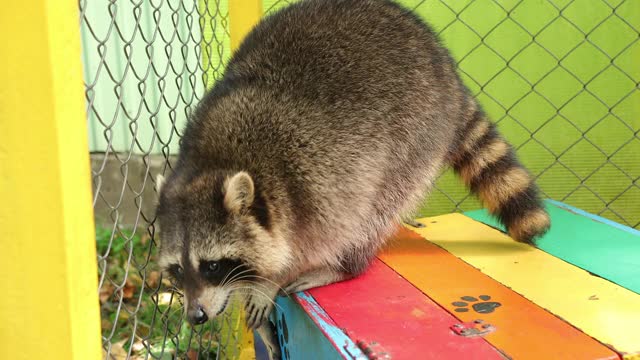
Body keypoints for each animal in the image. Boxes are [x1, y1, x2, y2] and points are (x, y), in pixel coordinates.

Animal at [155, 0, 552, 350]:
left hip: (418, 129)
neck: (213, 162)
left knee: (378, 207)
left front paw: (271, 280)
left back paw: (348, 264)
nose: (196, 316)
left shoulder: (317, 178)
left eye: (212, 265)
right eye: (177, 270)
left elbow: (321, 234)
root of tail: (443, 64)